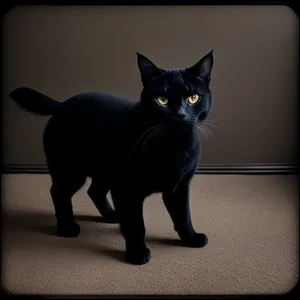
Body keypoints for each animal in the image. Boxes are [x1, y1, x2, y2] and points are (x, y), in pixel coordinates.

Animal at [9, 51, 213, 264]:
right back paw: (67, 228)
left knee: (94, 191)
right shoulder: (126, 189)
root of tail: (61, 105)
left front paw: (190, 238)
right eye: (162, 100)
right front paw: (137, 253)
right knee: (58, 192)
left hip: (104, 170)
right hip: (71, 171)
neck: (172, 146)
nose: (180, 115)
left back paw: (111, 216)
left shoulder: (179, 187)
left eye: (193, 98)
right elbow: (135, 224)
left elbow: (183, 216)